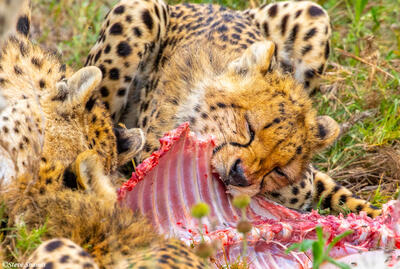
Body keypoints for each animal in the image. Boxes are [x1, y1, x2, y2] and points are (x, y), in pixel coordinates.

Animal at [87, 0, 382, 217]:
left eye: (279, 170)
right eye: (249, 127)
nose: (240, 176)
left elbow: (308, 187)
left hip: (315, 14)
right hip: (138, 11)